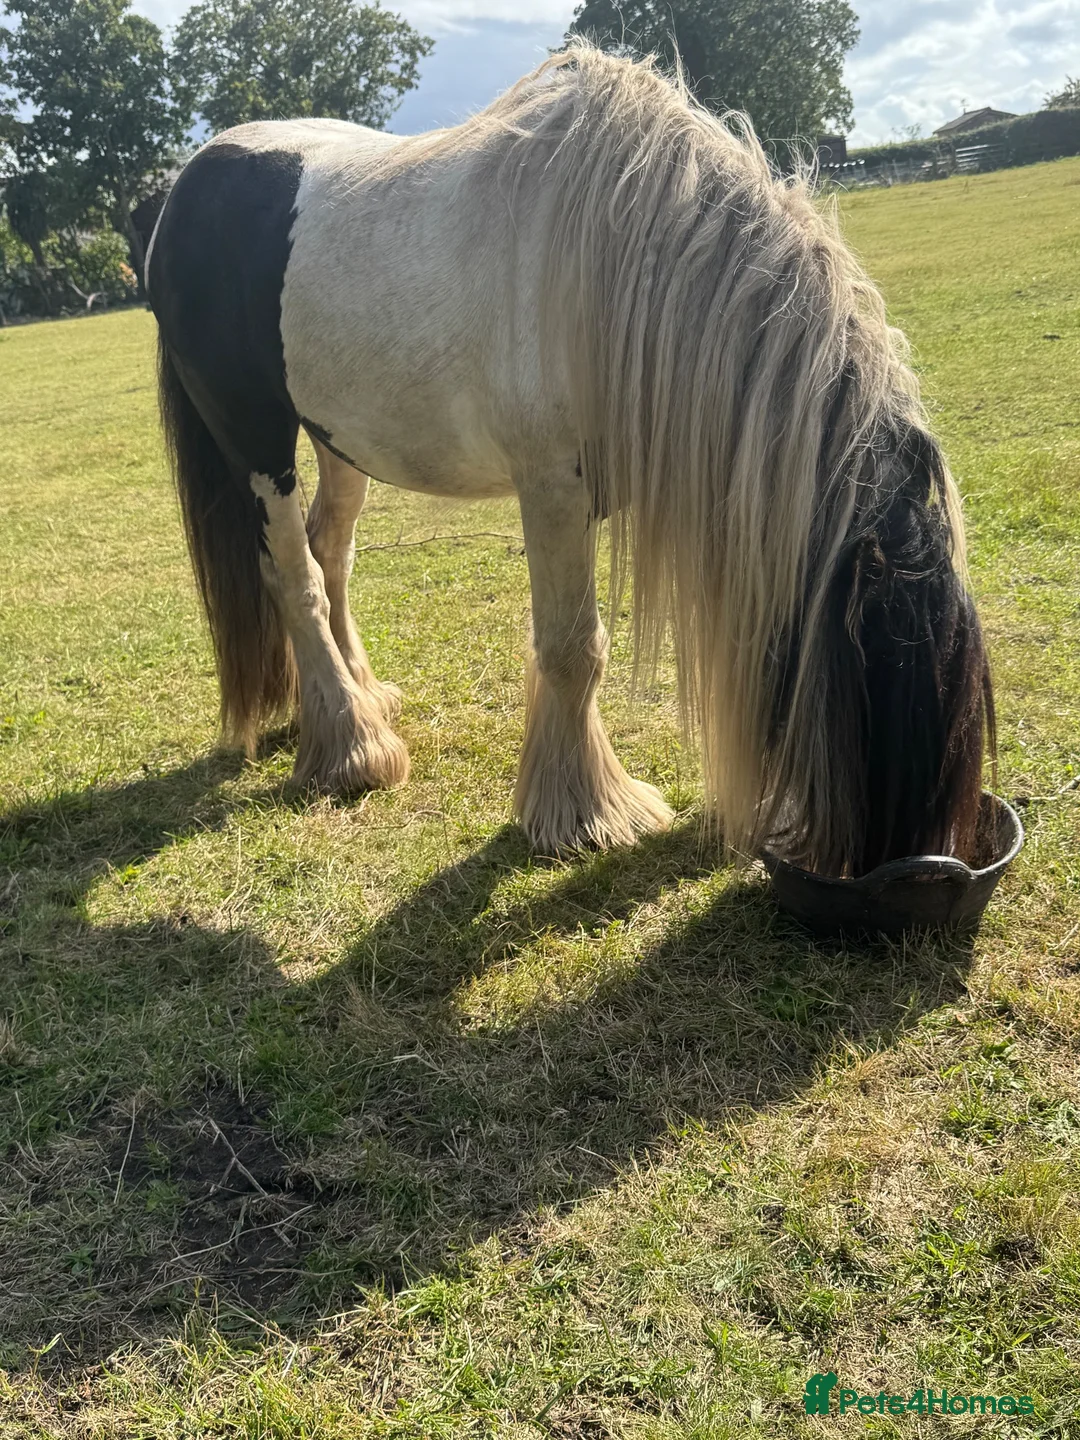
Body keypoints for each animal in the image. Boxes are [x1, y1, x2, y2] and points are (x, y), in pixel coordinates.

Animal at [147, 43, 994, 876]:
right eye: (893, 664)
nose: (911, 861)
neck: (618, 262)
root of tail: (185, 190)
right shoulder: (553, 488)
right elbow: (572, 649)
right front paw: (586, 814)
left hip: (338, 437)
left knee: (330, 553)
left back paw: (363, 699)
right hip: (258, 444)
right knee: (295, 581)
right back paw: (354, 748)